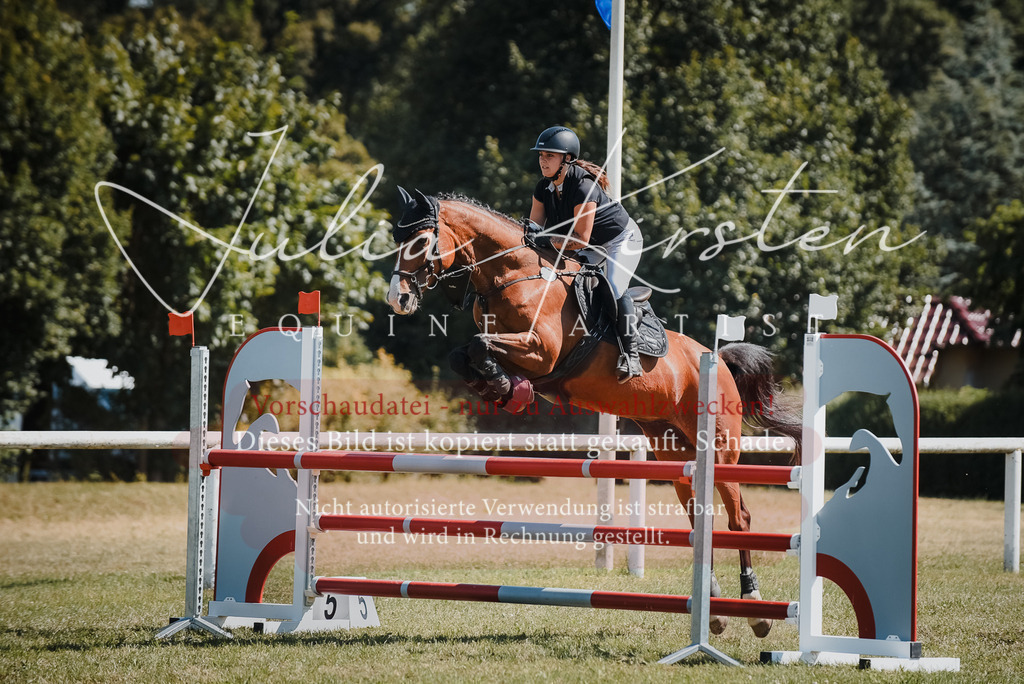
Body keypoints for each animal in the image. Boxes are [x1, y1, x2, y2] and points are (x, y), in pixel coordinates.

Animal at [386, 188, 802, 637]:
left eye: (420, 243)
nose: (398, 299)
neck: (514, 274)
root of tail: (717, 360)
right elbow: (463, 354)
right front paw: (504, 390)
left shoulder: (541, 351)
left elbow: (479, 347)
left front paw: (508, 389)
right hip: (674, 449)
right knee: (699, 520)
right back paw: (717, 610)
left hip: (720, 448)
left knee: (739, 518)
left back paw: (755, 608)